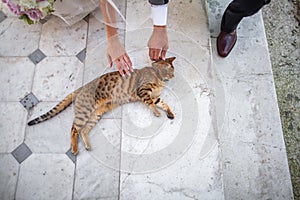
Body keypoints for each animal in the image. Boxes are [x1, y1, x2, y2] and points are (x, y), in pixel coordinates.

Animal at [28, 56, 176, 155]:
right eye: (171, 72)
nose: (174, 76)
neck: (157, 75)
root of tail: (81, 88)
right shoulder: (143, 91)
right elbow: (151, 104)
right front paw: (156, 112)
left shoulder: (155, 97)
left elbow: (164, 104)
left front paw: (170, 113)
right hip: (84, 112)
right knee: (74, 129)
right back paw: (75, 149)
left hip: (95, 114)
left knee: (83, 130)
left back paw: (87, 146)